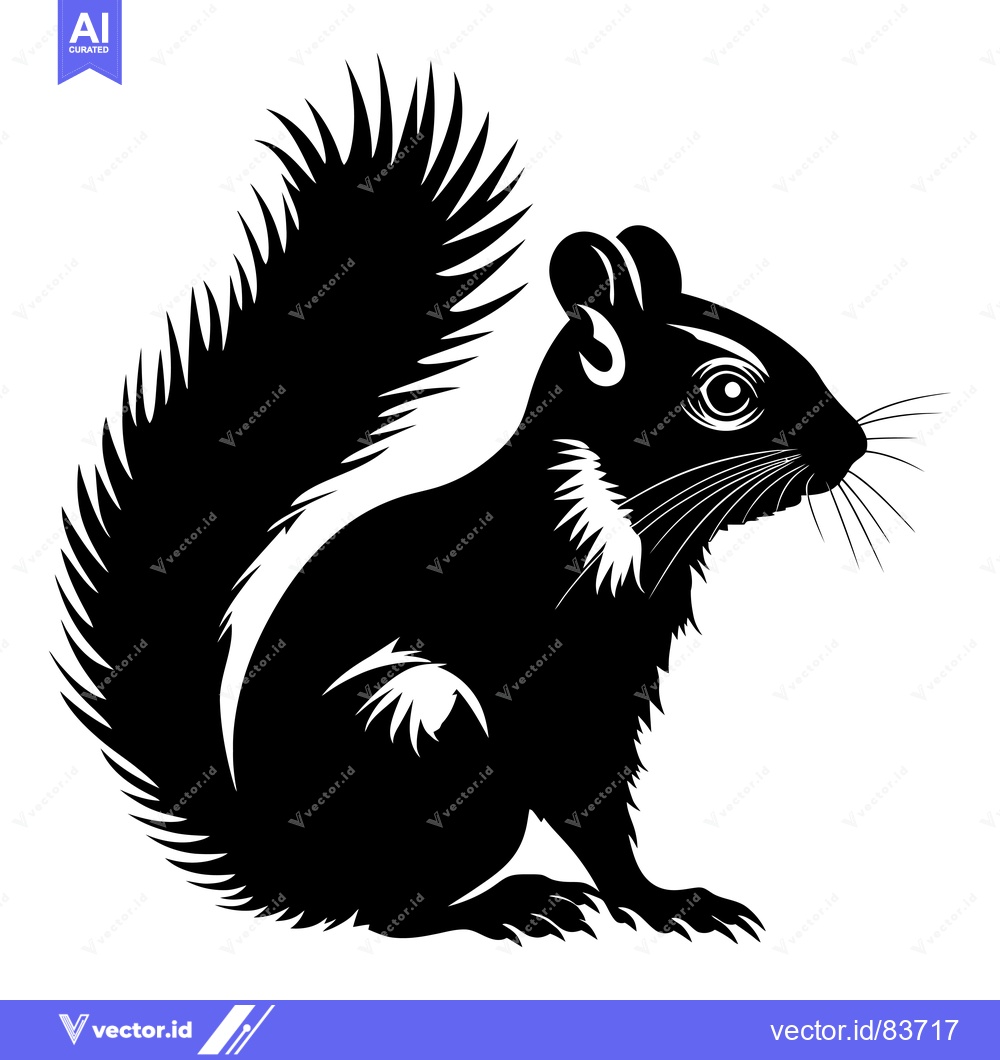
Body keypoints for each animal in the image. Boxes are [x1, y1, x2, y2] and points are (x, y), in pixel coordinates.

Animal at [58, 63, 900, 944]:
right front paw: (659, 902)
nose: (849, 445)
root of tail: (278, 865)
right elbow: (583, 795)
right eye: (728, 394)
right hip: (425, 729)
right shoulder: (546, 665)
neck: (615, 508)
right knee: (391, 911)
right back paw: (510, 903)